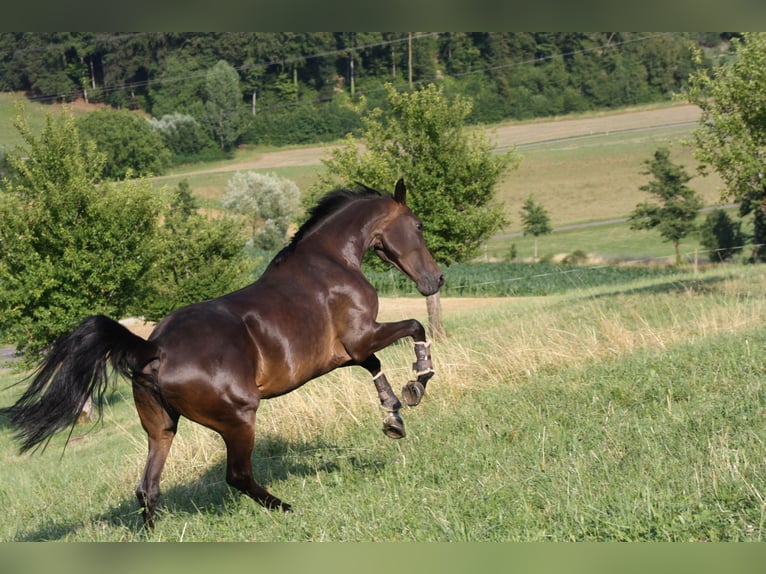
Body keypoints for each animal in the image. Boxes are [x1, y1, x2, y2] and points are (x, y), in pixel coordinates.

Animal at [0, 178, 444, 528]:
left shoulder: (349, 352)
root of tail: (154, 348)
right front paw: (418, 381)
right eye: (419, 225)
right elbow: (414, 328)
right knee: (237, 475)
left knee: (147, 487)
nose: (436, 279)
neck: (333, 262)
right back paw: (285, 508)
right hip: (238, 418)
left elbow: (376, 366)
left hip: (161, 428)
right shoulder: (361, 337)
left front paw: (394, 415)